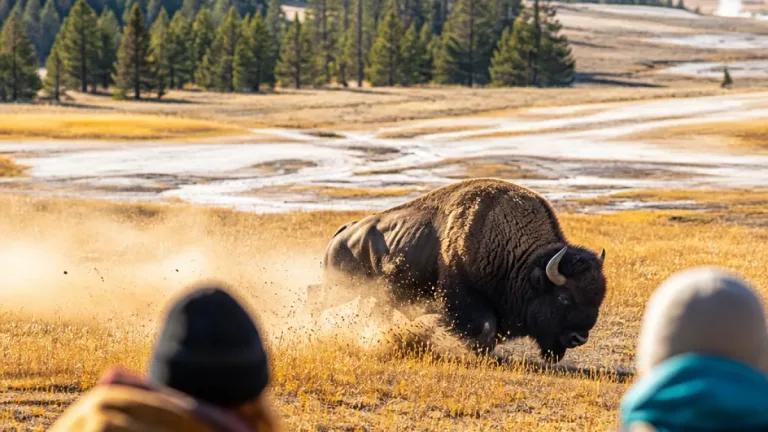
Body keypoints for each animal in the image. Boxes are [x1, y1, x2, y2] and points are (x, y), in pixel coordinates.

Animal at [312, 178, 607, 362]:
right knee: (316, 298)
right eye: (564, 297)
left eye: (598, 298)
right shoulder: (461, 296)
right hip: (341, 288)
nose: (579, 338)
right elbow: (484, 328)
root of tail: (344, 232)